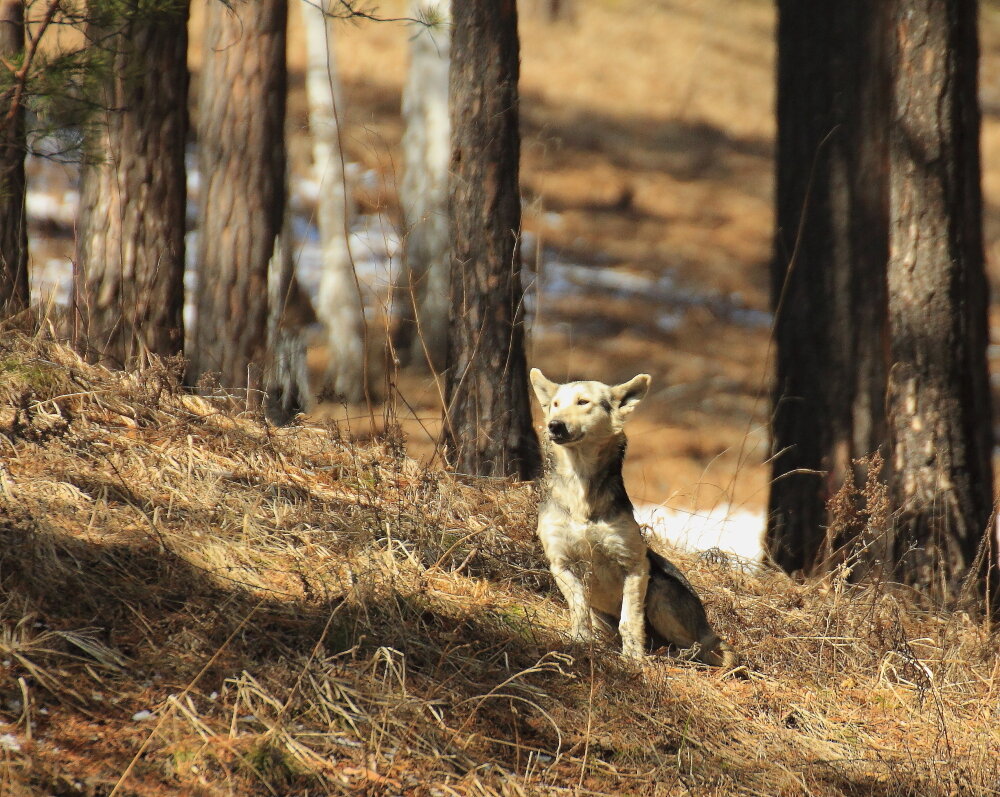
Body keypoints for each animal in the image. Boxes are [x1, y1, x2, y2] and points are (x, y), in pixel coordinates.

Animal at [532, 366, 736, 664]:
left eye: (583, 402)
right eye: (556, 405)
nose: (554, 425)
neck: (582, 496)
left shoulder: (634, 565)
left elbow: (629, 621)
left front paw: (633, 660)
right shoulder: (561, 563)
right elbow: (579, 610)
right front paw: (580, 643)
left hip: (662, 594)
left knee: (710, 648)